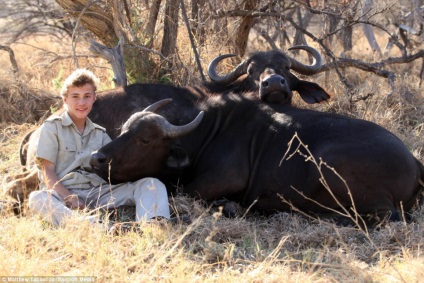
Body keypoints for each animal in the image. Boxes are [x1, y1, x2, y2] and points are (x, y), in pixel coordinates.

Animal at [89, 85, 424, 225]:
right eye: (122, 130)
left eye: (144, 139)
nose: (97, 159)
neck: (208, 136)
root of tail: (414, 162)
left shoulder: (216, 183)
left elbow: (187, 192)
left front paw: (231, 206)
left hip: (329, 168)